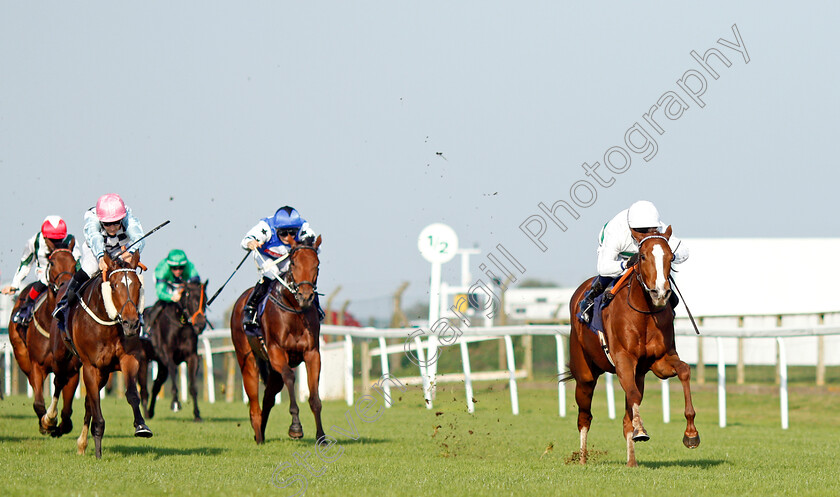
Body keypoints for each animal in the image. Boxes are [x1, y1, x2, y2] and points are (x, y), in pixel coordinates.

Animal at [7, 238, 79, 436]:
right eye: (52, 262)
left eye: (74, 263)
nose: (65, 285)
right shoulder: (37, 365)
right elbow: (39, 403)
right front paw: (46, 422)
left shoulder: (72, 369)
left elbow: (67, 412)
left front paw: (60, 425)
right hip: (22, 355)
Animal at [71, 252, 153, 458]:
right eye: (114, 286)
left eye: (138, 285)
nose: (131, 324)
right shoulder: (90, 367)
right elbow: (97, 409)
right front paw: (98, 452)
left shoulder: (129, 358)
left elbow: (132, 393)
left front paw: (141, 426)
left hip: (104, 373)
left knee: (88, 403)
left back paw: (82, 444)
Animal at [139, 278, 209, 420]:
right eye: (192, 299)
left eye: (205, 300)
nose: (200, 325)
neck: (180, 324)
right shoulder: (168, 356)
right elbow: (174, 377)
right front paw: (175, 403)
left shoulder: (192, 357)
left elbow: (193, 387)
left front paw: (197, 414)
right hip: (143, 361)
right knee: (144, 390)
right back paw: (146, 414)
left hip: (161, 365)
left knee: (156, 385)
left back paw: (150, 411)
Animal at [231, 236, 326, 442]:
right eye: (294, 263)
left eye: (317, 264)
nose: (305, 296)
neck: (295, 310)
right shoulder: (276, 352)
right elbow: (290, 376)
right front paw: (296, 427)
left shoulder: (312, 353)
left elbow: (315, 397)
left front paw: (321, 437)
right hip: (247, 360)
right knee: (254, 403)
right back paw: (258, 436)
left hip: (272, 371)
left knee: (268, 396)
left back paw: (261, 432)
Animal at [564, 227, 704, 466]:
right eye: (644, 256)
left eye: (671, 256)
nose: (660, 293)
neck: (645, 312)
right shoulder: (623, 359)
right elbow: (633, 395)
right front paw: (641, 429)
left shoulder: (660, 361)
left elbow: (684, 370)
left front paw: (691, 434)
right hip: (584, 374)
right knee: (585, 417)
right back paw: (582, 459)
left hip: (638, 374)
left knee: (625, 416)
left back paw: (632, 462)